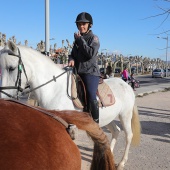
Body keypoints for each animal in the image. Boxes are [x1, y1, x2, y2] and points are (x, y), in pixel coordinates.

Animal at [0, 40, 141, 169]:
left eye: (11, 68)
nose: (2, 97)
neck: (54, 88)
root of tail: (126, 85)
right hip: (108, 118)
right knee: (116, 131)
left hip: (125, 115)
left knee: (128, 135)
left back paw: (121, 162)